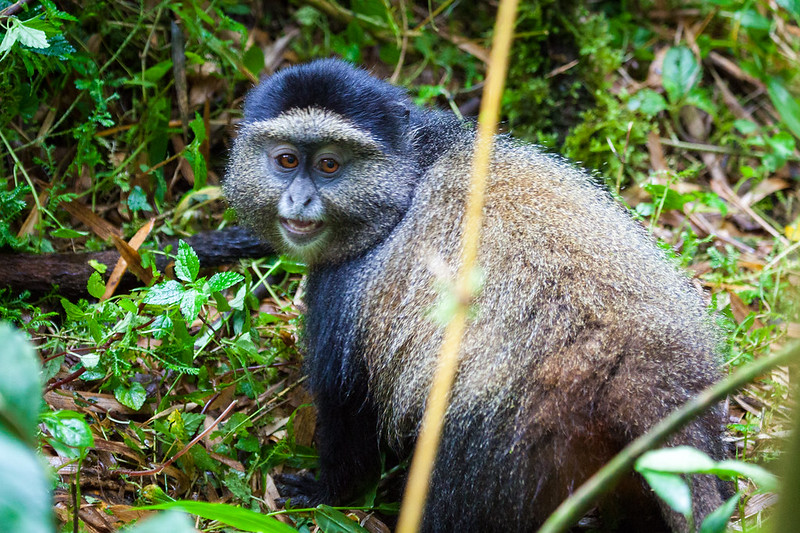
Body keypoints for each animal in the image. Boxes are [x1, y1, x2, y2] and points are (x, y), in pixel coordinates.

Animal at [223, 58, 731, 532]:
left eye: (329, 164)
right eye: (287, 161)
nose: (300, 200)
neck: (409, 177)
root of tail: (634, 370)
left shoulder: (343, 298)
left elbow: (351, 413)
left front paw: (322, 491)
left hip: (507, 451)